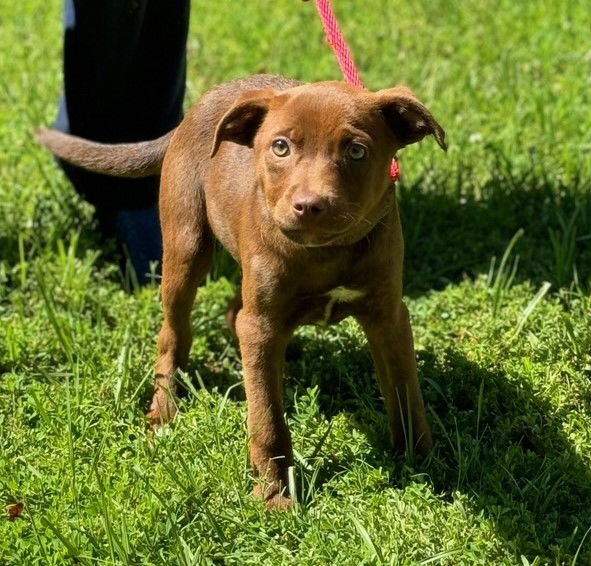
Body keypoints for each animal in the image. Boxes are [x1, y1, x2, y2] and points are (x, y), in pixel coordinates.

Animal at [39, 73, 446, 508]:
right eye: (281, 147)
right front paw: (274, 494)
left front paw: (424, 463)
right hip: (186, 250)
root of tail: (200, 107)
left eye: (356, 150)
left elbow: (406, 392)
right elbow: (267, 417)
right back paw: (163, 412)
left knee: (235, 315)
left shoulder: (389, 316)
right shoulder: (263, 325)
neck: (327, 252)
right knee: (174, 334)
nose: (309, 205)